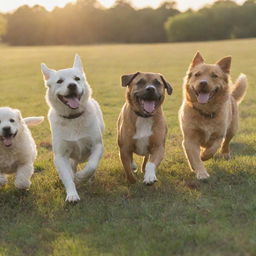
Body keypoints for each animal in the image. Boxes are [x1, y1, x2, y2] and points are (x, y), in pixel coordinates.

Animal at [40, 54, 104, 202]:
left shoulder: (97, 145)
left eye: (77, 79)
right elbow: (67, 176)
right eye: (60, 81)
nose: (72, 85)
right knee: (72, 166)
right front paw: (72, 194)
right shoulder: (60, 155)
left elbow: (91, 165)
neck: (73, 118)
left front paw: (82, 176)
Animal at [179, 51, 247, 180]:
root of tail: (231, 95)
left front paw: (204, 155)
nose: (203, 83)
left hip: (232, 129)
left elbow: (212, 149)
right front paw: (201, 172)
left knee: (226, 143)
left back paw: (225, 154)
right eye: (197, 74)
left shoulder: (219, 135)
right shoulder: (190, 138)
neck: (205, 112)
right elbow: (194, 158)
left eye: (214, 76)